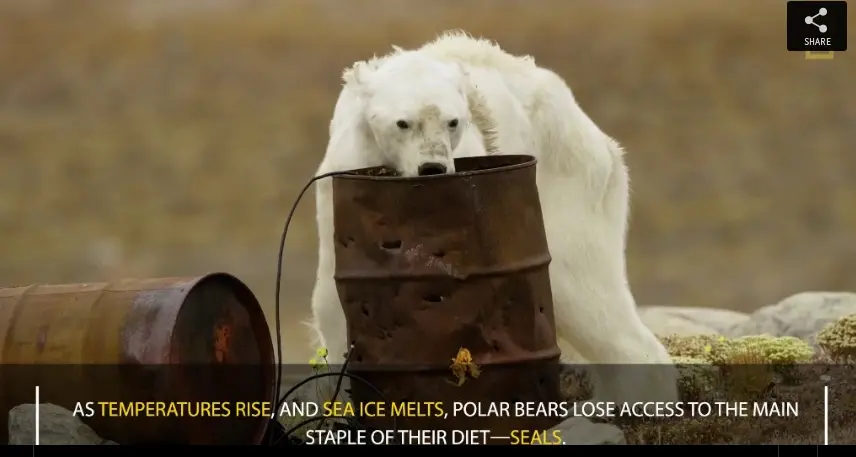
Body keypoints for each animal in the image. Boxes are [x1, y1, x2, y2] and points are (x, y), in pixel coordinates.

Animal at [308, 31, 679, 405]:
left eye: (452, 121)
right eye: (403, 122)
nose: (433, 168)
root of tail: (602, 141)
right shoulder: (341, 184)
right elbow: (334, 299)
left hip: (565, 191)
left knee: (585, 293)